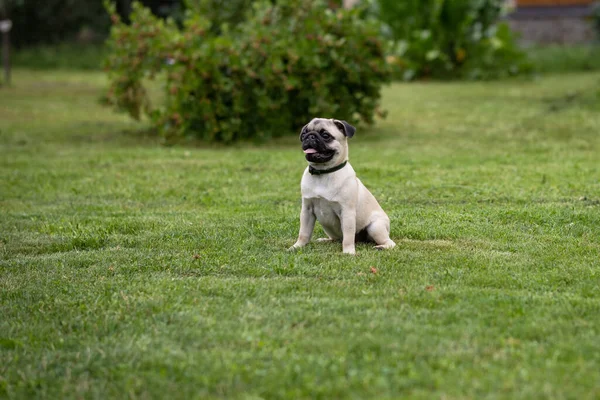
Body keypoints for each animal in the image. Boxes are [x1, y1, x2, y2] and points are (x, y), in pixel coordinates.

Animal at [288, 117, 396, 255]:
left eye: (325, 135)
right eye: (304, 134)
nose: (310, 136)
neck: (323, 172)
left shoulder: (347, 212)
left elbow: (348, 237)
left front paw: (348, 252)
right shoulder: (307, 210)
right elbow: (303, 233)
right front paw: (297, 246)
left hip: (375, 227)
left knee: (389, 242)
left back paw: (381, 247)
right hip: (328, 228)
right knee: (336, 238)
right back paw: (325, 240)